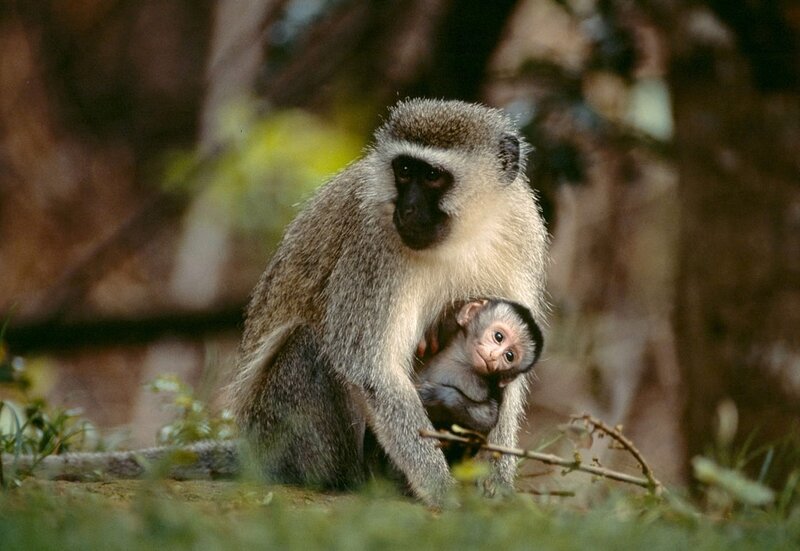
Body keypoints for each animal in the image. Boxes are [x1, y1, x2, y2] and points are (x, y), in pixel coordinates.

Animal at [416, 299, 544, 436]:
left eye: (509, 356)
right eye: (498, 337)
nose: (493, 356)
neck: (463, 363)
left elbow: (487, 418)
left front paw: (437, 395)